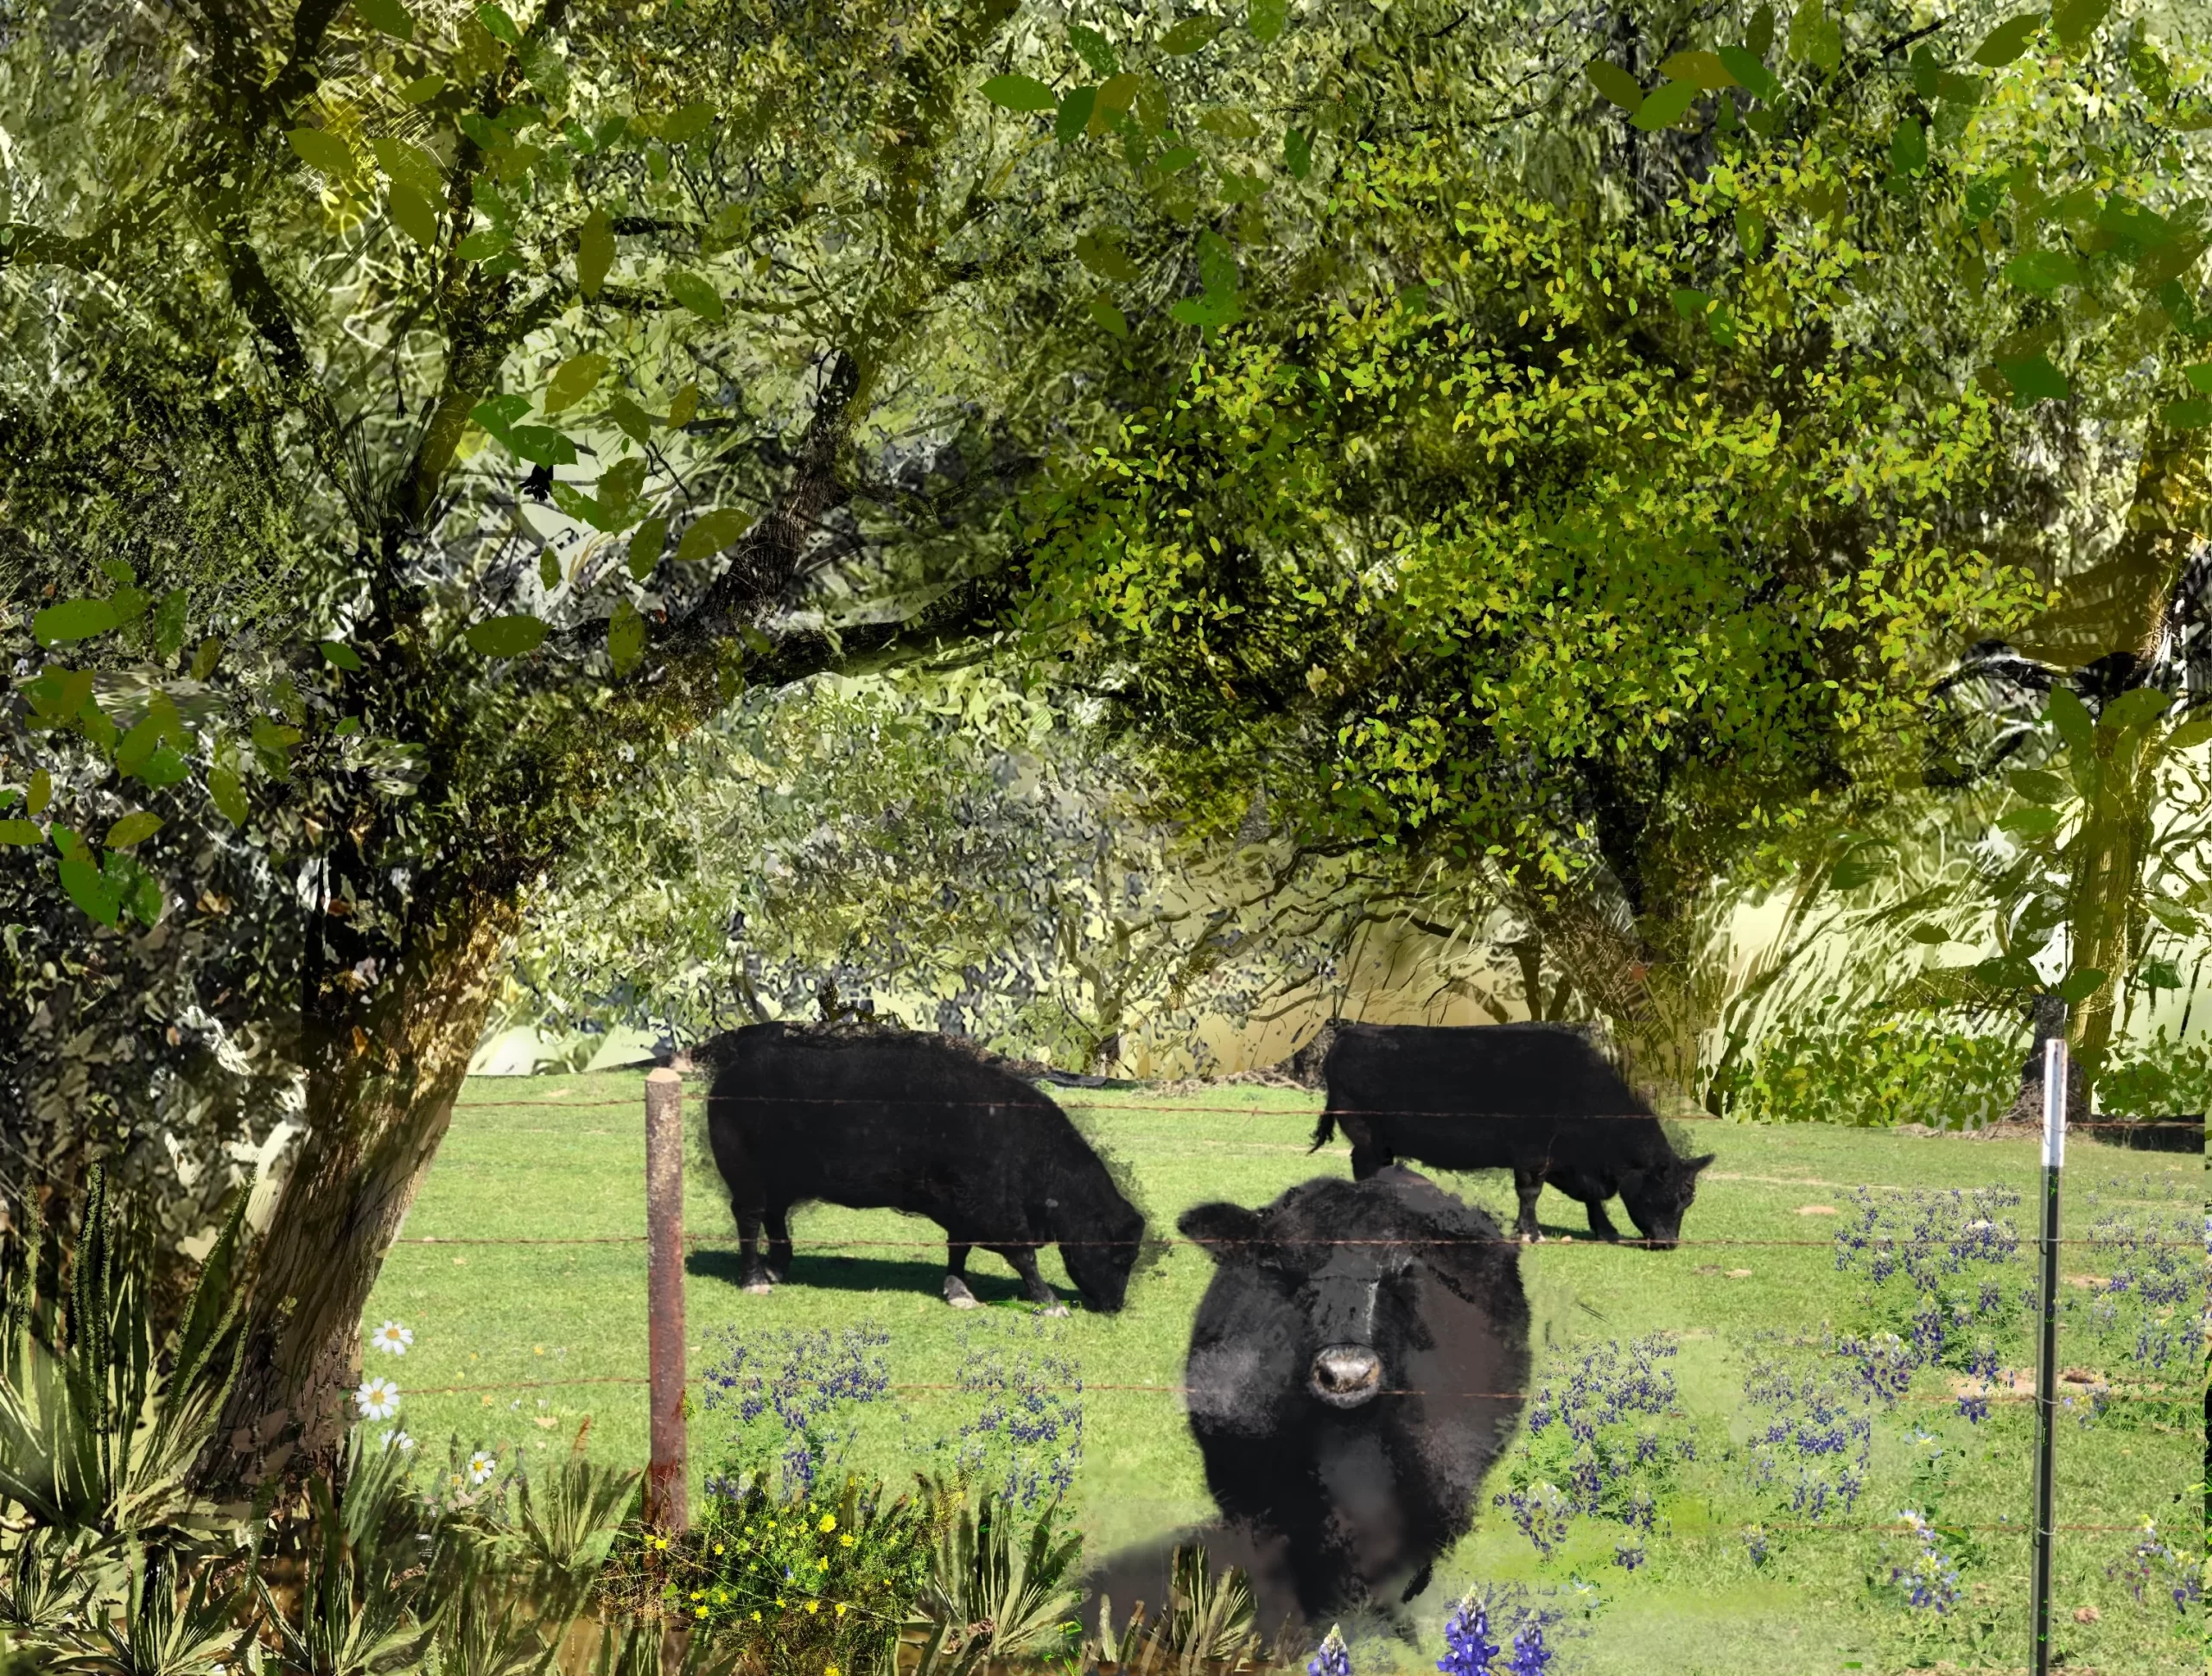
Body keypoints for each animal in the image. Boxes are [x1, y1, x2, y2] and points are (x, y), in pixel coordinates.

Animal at [699, 1022, 1145, 1314]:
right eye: (1121, 1256)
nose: (1115, 1306)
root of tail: (737, 1069)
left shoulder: (965, 1208)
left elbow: (959, 1248)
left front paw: (959, 1290)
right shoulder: (995, 1213)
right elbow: (1024, 1258)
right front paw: (1050, 1302)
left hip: (781, 1179)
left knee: (775, 1217)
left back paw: (776, 1268)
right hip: (745, 1175)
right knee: (750, 1217)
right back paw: (754, 1279)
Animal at [1311, 1022, 1715, 1249]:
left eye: (1688, 1199)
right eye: (1659, 1195)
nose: (1668, 1243)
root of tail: (1350, 1031)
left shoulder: (1569, 1163)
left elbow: (1589, 1198)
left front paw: (1606, 1230)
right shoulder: (1531, 1152)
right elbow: (1529, 1193)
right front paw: (1529, 1233)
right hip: (1364, 1131)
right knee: (1364, 1166)